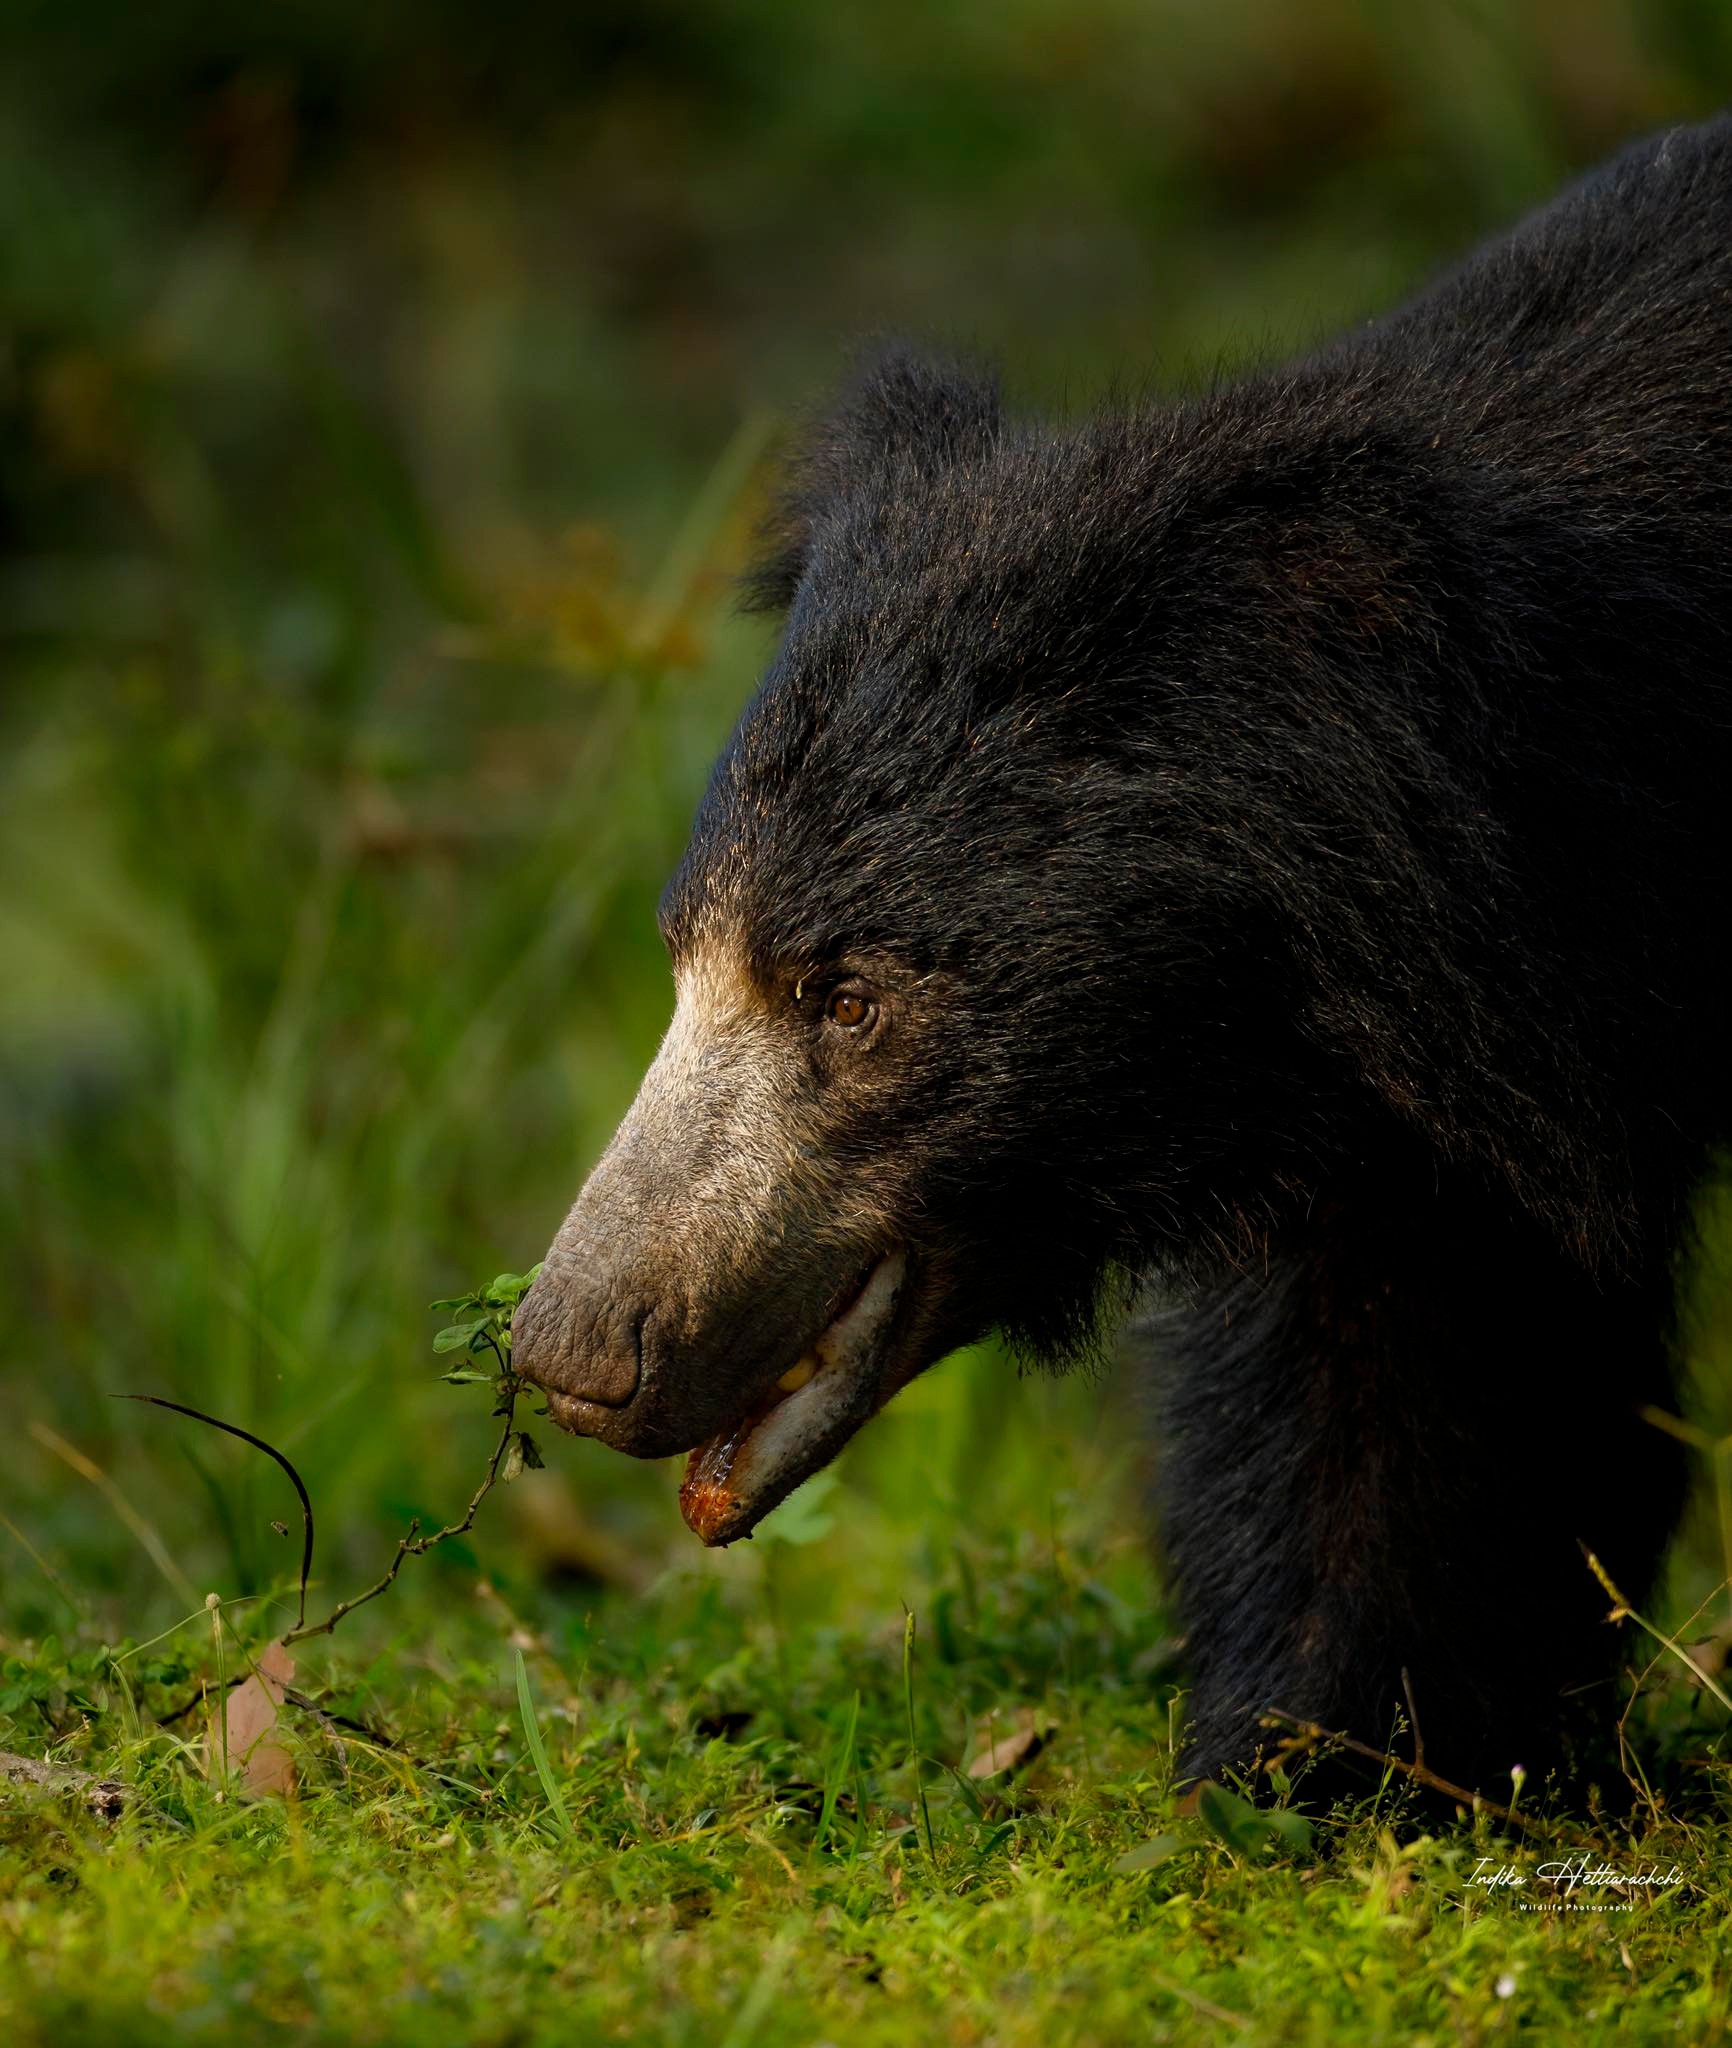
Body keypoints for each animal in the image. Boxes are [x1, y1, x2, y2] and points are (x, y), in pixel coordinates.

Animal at [511, 115, 1732, 1796]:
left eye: (852, 1000)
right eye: (685, 957)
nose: (573, 1352)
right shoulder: (1421, 1093)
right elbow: (1404, 1362)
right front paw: (1331, 1755)